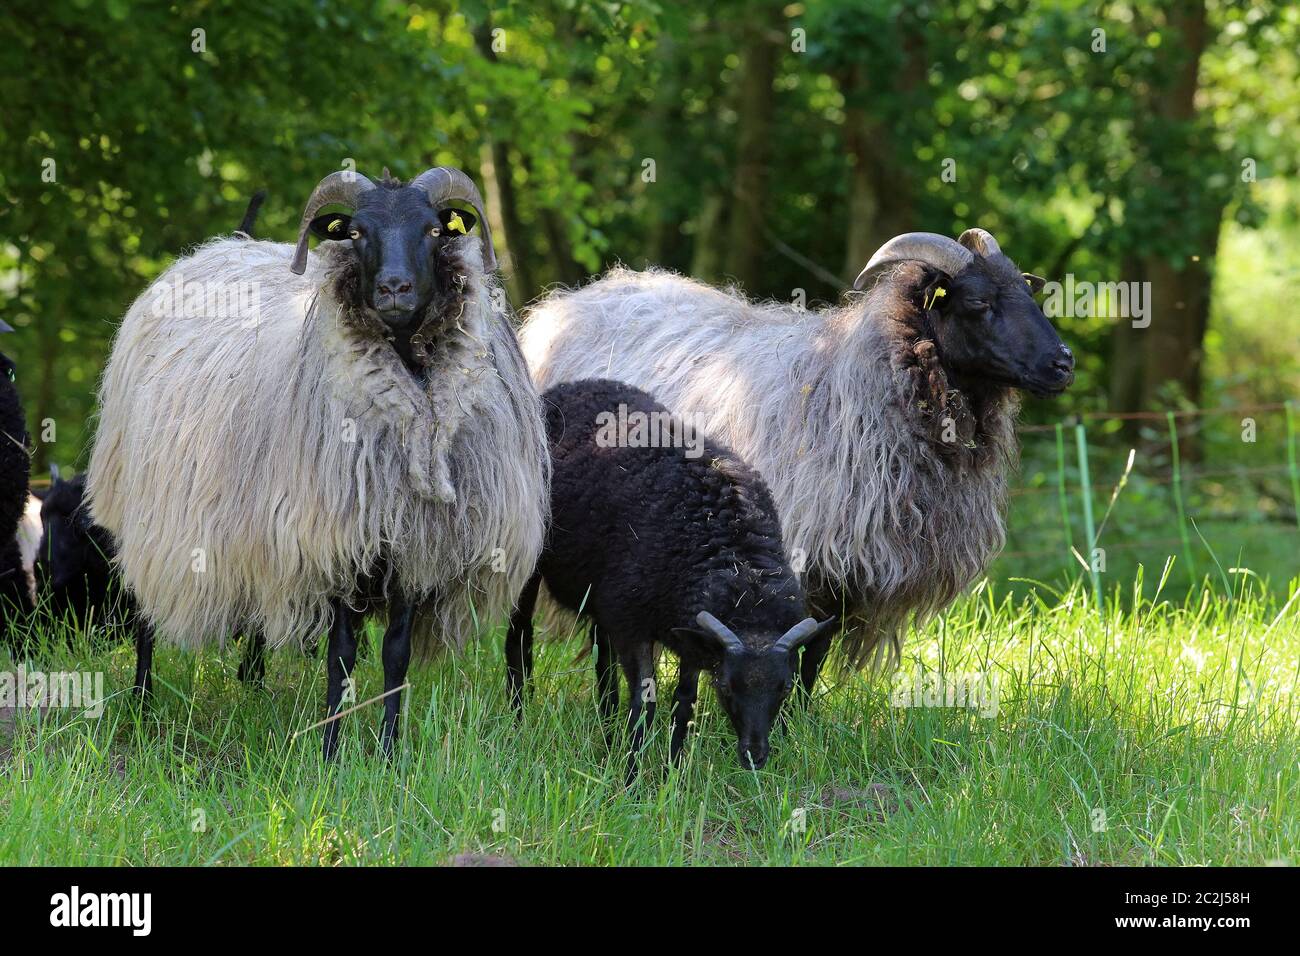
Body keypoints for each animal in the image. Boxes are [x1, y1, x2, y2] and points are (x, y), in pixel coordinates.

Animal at [85, 167, 543, 759]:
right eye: (357, 232)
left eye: (433, 230)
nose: (394, 288)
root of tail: (226, 245)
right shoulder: (338, 544)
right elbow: (341, 655)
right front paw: (330, 751)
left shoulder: (415, 547)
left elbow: (396, 656)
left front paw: (389, 752)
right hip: (149, 506)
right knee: (144, 609)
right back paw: (142, 703)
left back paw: (252, 685)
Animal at [506, 374, 832, 780]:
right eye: (726, 686)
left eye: (785, 687)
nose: (754, 756)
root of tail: (571, 385)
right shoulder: (634, 625)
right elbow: (644, 703)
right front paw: (631, 777)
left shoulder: (688, 632)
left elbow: (684, 703)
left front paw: (672, 772)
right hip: (532, 558)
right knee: (520, 636)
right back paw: (519, 717)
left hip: (603, 597)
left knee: (602, 659)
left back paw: (606, 730)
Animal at [520, 227, 1076, 676]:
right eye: (978, 303)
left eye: (1029, 292)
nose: (1063, 363)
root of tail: (570, 302)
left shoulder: (845, 574)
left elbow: (812, 658)